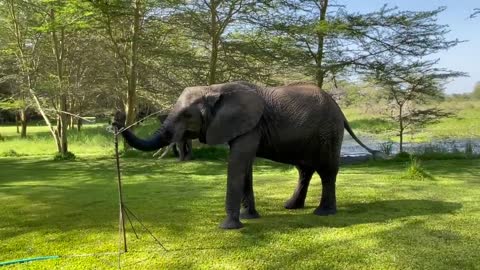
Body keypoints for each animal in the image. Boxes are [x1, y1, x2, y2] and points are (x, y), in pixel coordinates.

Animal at [112, 80, 382, 230]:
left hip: (329, 131)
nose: (115, 120)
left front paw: (229, 227)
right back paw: (291, 207)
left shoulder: (251, 125)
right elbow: (244, 167)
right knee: (305, 168)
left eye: (187, 115)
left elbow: (238, 163)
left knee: (326, 170)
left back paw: (323, 213)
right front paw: (249, 218)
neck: (215, 88)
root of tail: (340, 110)